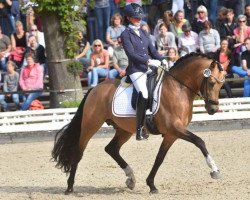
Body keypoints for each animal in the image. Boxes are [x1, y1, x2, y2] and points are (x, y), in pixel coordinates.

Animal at [51, 53, 226, 194]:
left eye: (221, 85)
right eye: (211, 83)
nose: (213, 109)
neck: (178, 88)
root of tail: (94, 89)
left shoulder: (172, 133)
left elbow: (159, 158)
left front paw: (151, 185)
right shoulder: (175, 128)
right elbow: (200, 141)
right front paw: (215, 170)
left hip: (124, 130)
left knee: (111, 149)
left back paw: (131, 179)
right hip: (90, 125)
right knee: (79, 152)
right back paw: (69, 187)